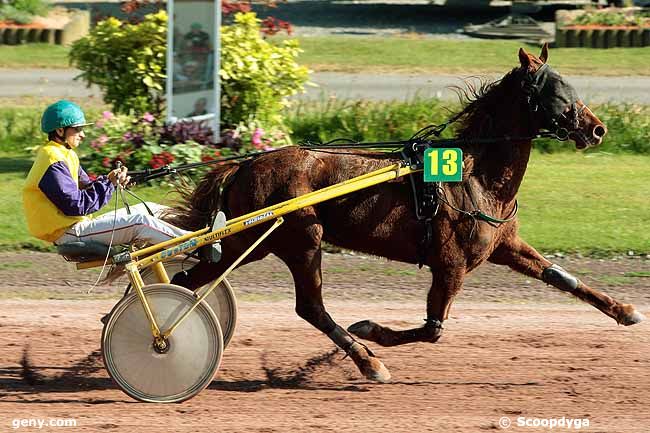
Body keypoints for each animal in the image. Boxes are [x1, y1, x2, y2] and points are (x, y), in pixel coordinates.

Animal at [165, 44, 640, 382]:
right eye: (559, 92)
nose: (598, 129)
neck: (476, 176)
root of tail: (245, 165)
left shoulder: (504, 244)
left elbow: (562, 277)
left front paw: (624, 310)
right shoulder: (450, 264)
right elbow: (432, 328)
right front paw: (371, 330)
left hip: (249, 242)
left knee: (188, 279)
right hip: (300, 238)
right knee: (310, 307)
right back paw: (368, 362)